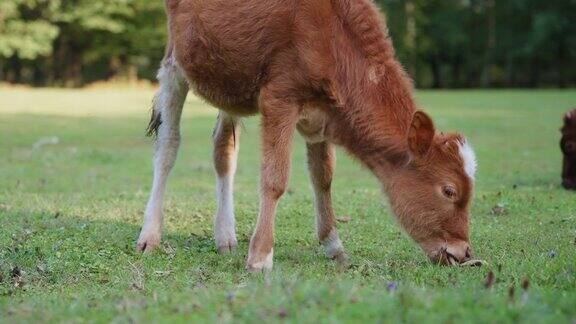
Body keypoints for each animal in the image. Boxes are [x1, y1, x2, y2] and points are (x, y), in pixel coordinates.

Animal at [136, 0, 476, 270]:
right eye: (449, 190)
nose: (464, 254)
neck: (335, 42)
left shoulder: (321, 117)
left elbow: (322, 178)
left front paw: (334, 247)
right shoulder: (279, 99)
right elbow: (275, 179)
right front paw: (260, 257)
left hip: (228, 81)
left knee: (223, 150)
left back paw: (225, 237)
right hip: (175, 63)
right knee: (168, 147)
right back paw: (150, 235)